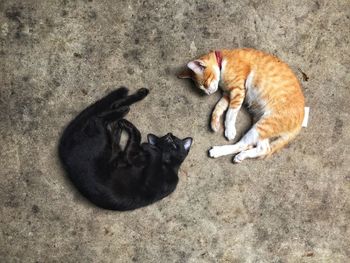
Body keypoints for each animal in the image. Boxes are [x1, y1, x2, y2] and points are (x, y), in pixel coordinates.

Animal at [58, 87, 193, 211]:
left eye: (175, 143)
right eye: (166, 138)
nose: (170, 136)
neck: (166, 164)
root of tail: (64, 150)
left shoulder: (137, 165)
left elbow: (146, 147)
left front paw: (148, 146)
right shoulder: (129, 157)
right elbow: (137, 141)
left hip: (101, 141)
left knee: (99, 118)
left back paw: (122, 115)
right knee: (104, 114)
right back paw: (134, 101)